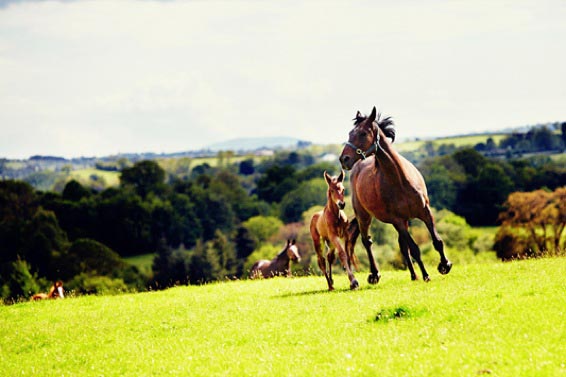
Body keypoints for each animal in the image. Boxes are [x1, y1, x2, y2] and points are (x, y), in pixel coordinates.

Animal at [340, 106, 454, 282]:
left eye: (363, 133)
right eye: (350, 133)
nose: (344, 159)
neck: (400, 181)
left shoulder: (425, 213)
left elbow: (437, 241)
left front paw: (445, 265)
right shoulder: (398, 220)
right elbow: (415, 249)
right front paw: (427, 275)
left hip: (403, 221)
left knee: (402, 246)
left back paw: (414, 275)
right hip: (365, 216)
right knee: (367, 241)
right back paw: (375, 274)